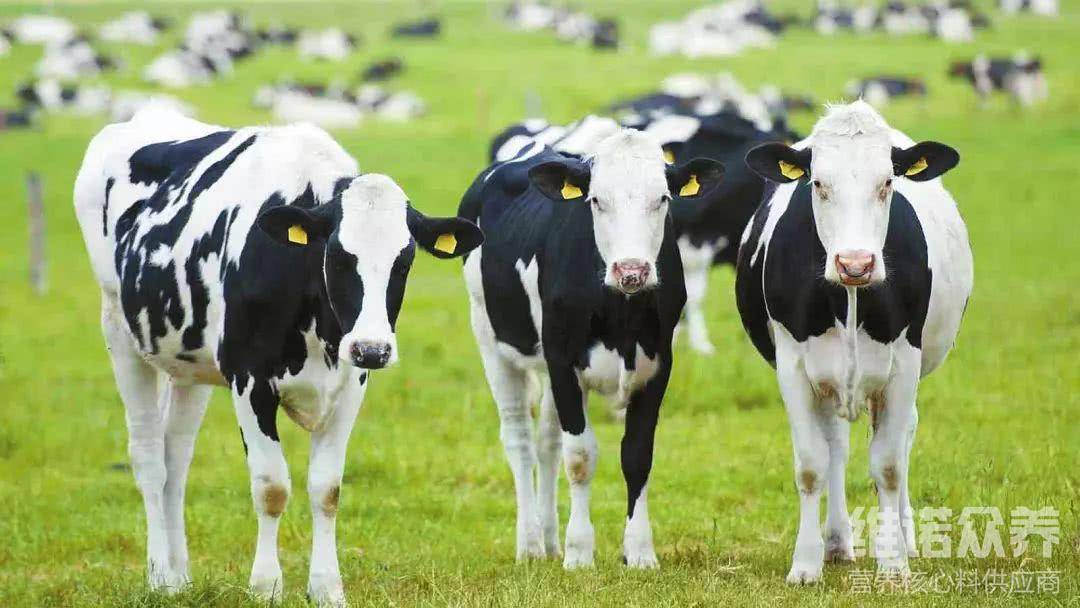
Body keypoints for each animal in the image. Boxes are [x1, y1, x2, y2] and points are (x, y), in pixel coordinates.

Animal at [73, 107, 483, 604]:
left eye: (404, 262)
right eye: (339, 258)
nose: (372, 348)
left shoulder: (351, 384)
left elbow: (327, 489)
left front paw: (327, 588)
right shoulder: (249, 379)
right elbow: (271, 487)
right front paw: (265, 586)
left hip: (188, 364)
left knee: (176, 460)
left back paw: (181, 574)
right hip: (120, 332)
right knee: (150, 460)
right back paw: (161, 578)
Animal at [457, 129, 725, 570]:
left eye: (662, 199)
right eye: (597, 200)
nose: (631, 271)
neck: (621, 316)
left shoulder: (657, 366)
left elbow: (637, 456)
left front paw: (639, 551)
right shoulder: (563, 361)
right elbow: (581, 457)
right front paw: (580, 552)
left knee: (547, 442)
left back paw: (550, 542)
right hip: (490, 339)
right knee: (519, 440)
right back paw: (530, 544)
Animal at [738, 99, 976, 583]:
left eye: (887, 183)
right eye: (818, 183)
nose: (855, 263)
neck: (847, 297)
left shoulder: (904, 364)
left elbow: (888, 465)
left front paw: (894, 563)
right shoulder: (793, 366)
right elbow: (812, 465)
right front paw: (805, 564)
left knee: (902, 440)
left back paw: (904, 539)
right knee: (836, 448)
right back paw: (836, 543)